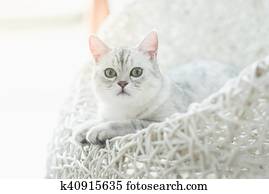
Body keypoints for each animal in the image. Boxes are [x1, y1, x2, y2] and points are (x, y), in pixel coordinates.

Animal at [73, 30, 234, 146]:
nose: (122, 83)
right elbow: (100, 119)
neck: (123, 108)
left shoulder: (163, 123)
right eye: (110, 73)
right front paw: (83, 129)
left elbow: (129, 122)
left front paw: (99, 130)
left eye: (136, 72)